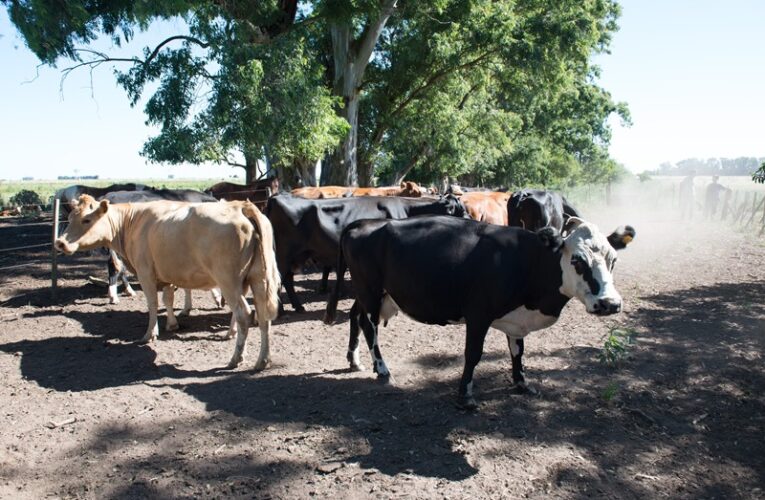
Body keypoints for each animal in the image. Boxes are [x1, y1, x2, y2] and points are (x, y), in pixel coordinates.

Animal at [54, 195, 280, 372]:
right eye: (70, 217)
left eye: (87, 219)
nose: (60, 242)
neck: (133, 221)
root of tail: (240, 205)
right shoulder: (168, 272)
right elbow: (168, 299)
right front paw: (172, 323)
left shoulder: (145, 272)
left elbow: (153, 303)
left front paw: (149, 334)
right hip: (258, 279)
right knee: (263, 316)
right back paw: (262, 360)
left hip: (229, 280)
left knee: (244, 313)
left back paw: (236, 358)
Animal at [264, 193, 466, 314]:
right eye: (461, 210)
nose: (470, 219)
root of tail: (276, 197)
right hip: (283, 254)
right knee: (279, 278)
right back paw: (280, 311)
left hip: (296, 255)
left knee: (287, 279)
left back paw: (298, 307)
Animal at [338, 216, 636, 410]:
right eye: (577, 260)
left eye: (613, 260)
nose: (610, 303)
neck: (528, 261)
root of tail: (363, 223)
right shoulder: (478, 314)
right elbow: (473, 354)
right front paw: (465, 396)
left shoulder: (516, 320)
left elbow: (518, 351)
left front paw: (521, 382)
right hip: (370, 291)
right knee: (369, 327)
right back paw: (382, 368)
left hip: (371, 295)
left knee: (355, 317)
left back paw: (355, 360)